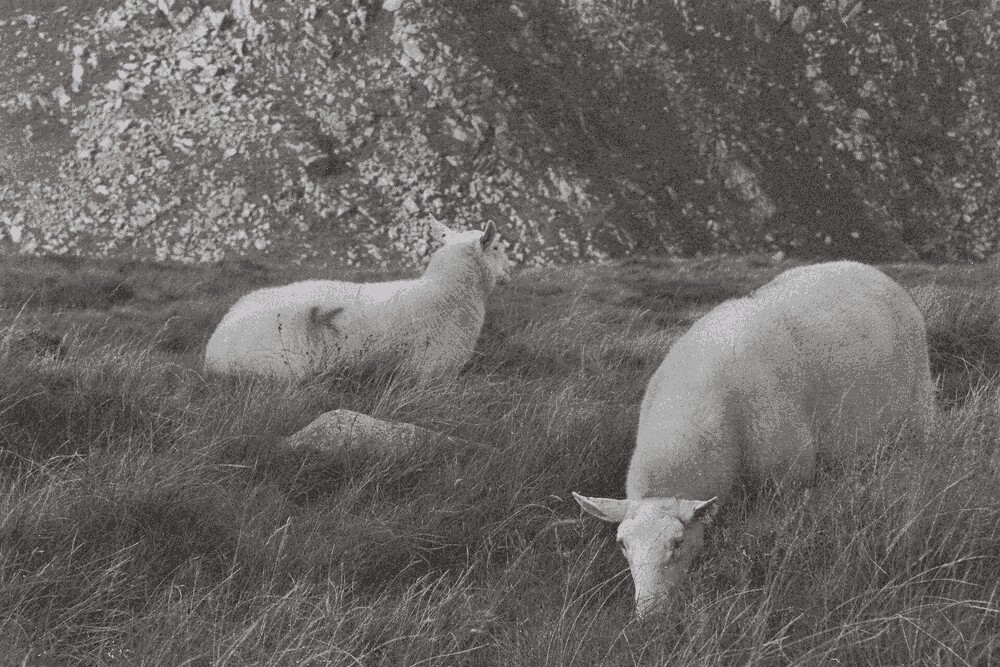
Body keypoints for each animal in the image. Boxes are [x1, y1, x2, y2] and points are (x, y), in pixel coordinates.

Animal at [204, 219, 511, 381]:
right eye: (497, 247)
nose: (509, 275)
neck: (446, 293)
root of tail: (214, 346)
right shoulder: (428, 370)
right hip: (282, 365)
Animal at [573, 260, 936, 618]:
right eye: (622, 544)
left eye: (677, 543)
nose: (649, 615)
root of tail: (866, 268)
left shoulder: (788, 479)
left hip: (919, 406)